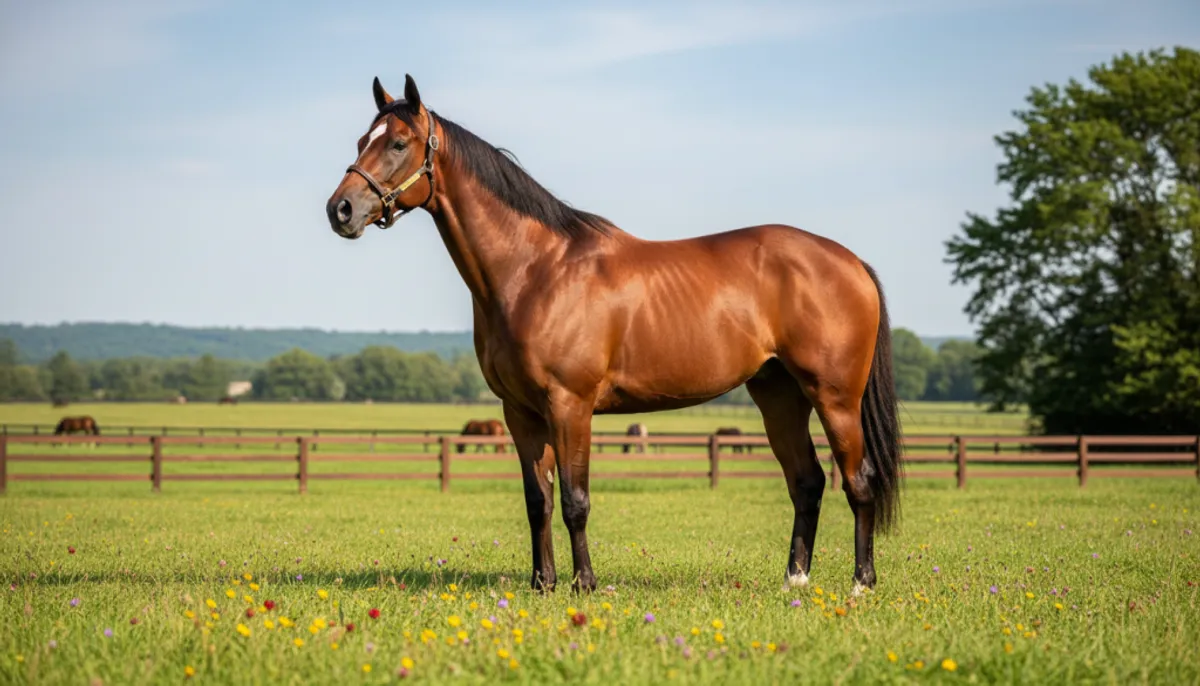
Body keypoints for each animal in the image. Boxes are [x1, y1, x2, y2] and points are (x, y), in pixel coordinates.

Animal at [325, 75, 903, 596]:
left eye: (398, 143)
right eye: (360, 141)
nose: (341, 210)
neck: (535, 270)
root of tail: (851, 262)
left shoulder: (570, 405)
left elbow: (575, 501)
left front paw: (583, 584)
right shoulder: (521, 413)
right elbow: (537, 500)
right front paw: (542, 583)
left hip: (834, 398)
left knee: (859, 480)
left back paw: (861, 583)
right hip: (779, 395)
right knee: (807, 482)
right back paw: (795, 581)